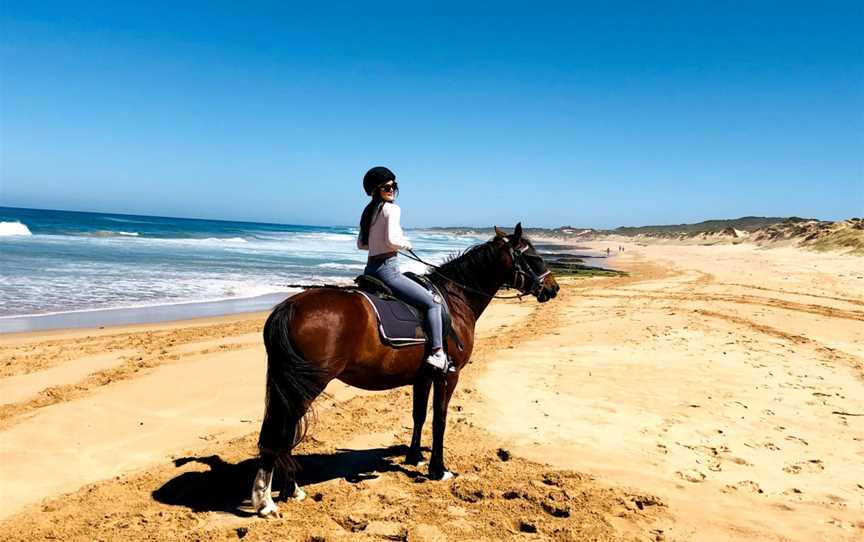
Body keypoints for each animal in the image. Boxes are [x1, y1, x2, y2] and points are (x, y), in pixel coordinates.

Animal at [250, 224, 560, 520]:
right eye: (534, 257)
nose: (553, 288)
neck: (455, 301)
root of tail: (290, 306)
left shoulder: (423, 377)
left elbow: (419, 416)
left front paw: (414, 457)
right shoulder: (448, 376)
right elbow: (439, 421)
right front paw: (438, 469)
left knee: (284, 429)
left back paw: (288, 491)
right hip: (307, 384)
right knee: (282, 429)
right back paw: (267, 501)